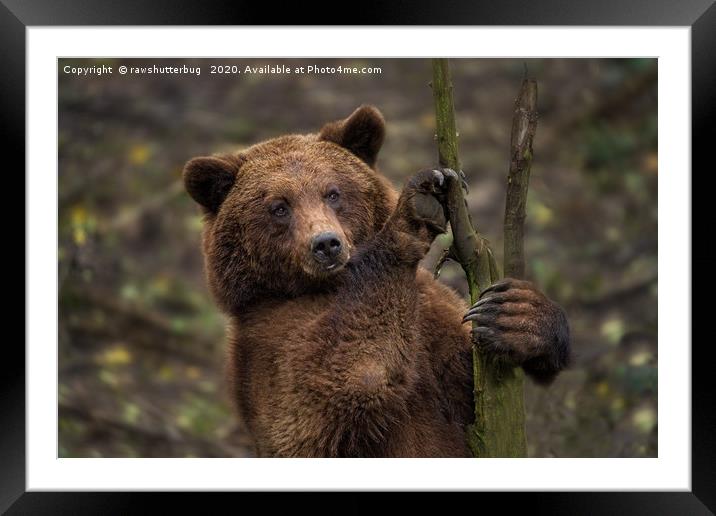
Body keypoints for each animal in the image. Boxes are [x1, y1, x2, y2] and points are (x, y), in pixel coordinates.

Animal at [183, 104, 572, 456]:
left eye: (333, 192)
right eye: (279, 207)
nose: (326, 244)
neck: (331, 286)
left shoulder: (437, 319)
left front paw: (515, 314)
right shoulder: (271, 343)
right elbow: (341, 382)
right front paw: (415, 207)